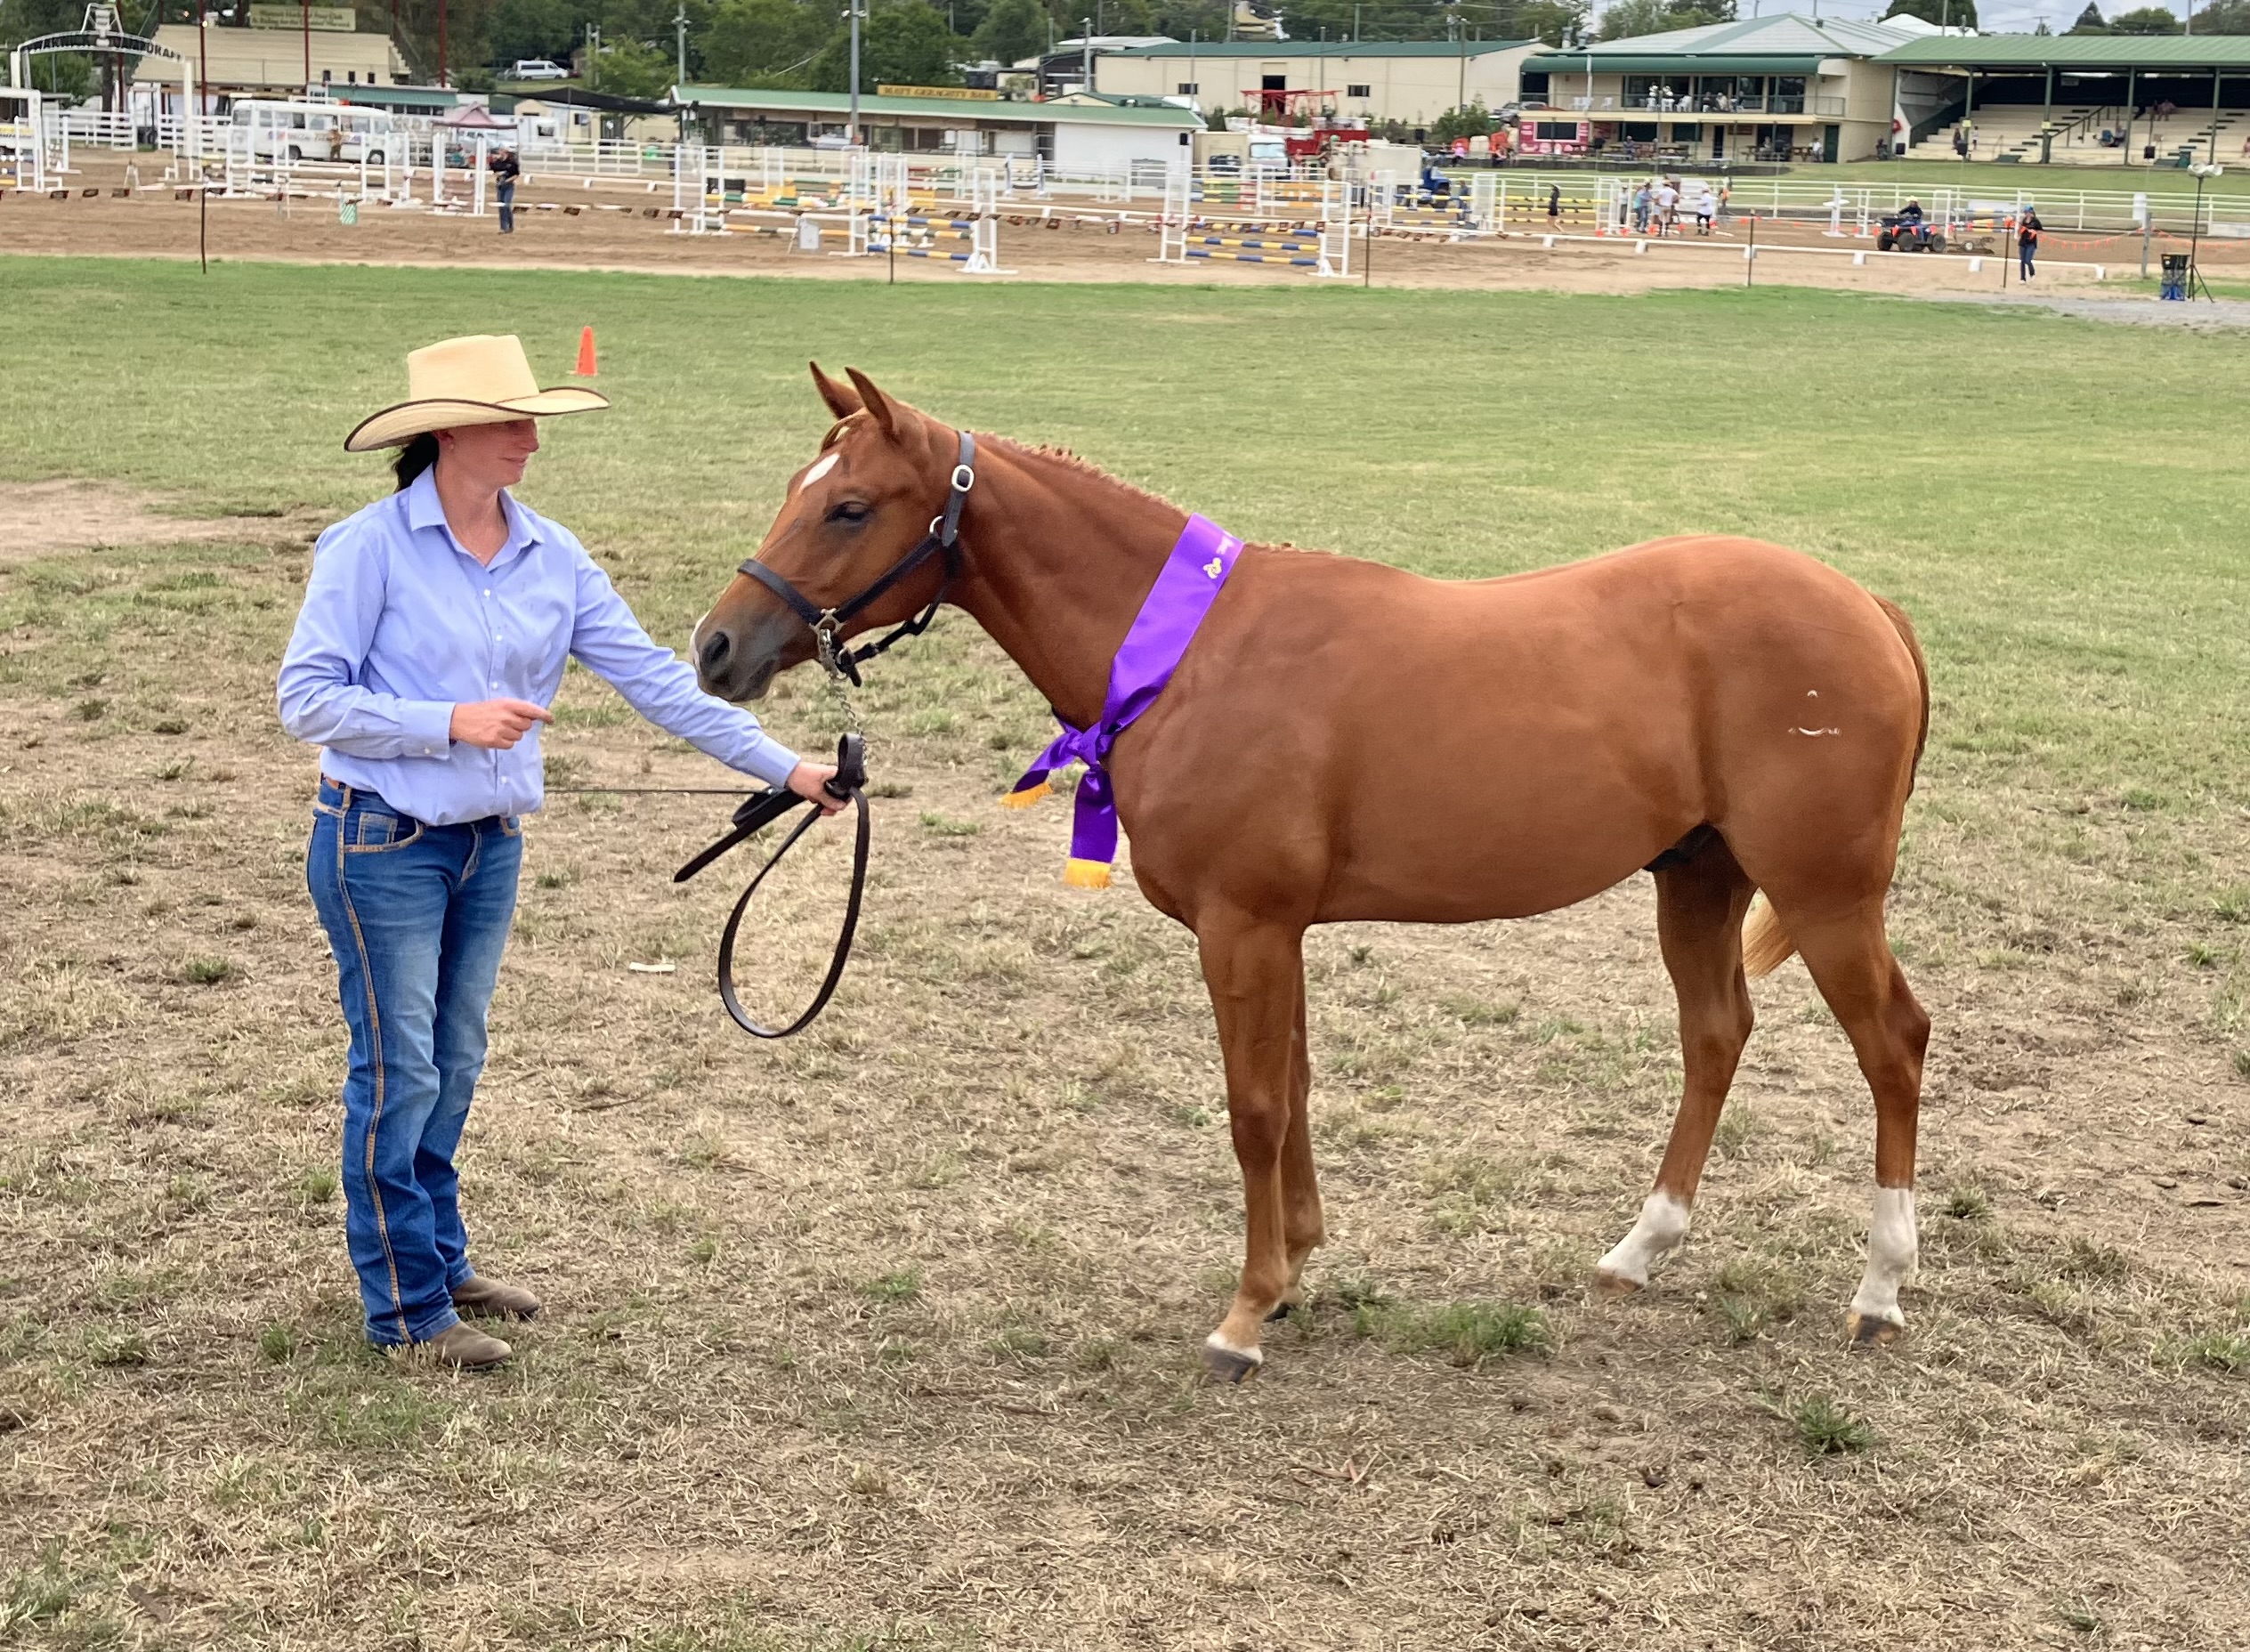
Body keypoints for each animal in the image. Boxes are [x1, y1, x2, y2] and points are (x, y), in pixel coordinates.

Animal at [693, 366, 1933, 1382]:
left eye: (850, 506)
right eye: (800, 487)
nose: (715, 647)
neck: (1192, 654)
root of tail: (1867, 607)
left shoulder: (1241, 926)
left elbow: (1251, 1108)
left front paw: (1244, 1314)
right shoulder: (1277, 931)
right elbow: (1290, 1094)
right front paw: (1292, 1268)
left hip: (1825, 895)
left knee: (1891, 1045)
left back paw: (1878, 1287)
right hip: (1697, 878)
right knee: (1715, 1033)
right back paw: (1640, 1248)